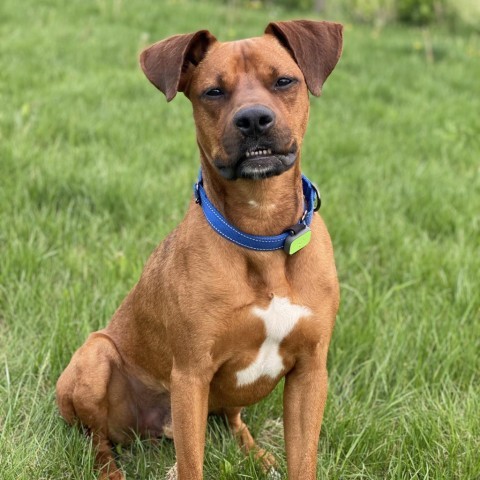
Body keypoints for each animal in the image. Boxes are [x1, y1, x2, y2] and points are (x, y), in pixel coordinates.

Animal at [57, 19, 342, 480]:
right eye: (213, 91)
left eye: (284, 81)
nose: (254, 119)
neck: (261, 232)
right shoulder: (191, 376)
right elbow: (191, 464)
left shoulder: (310, 371)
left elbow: (303, 460)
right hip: (96, 357)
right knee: (97, 441)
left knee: (233, 419)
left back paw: (256, 454)